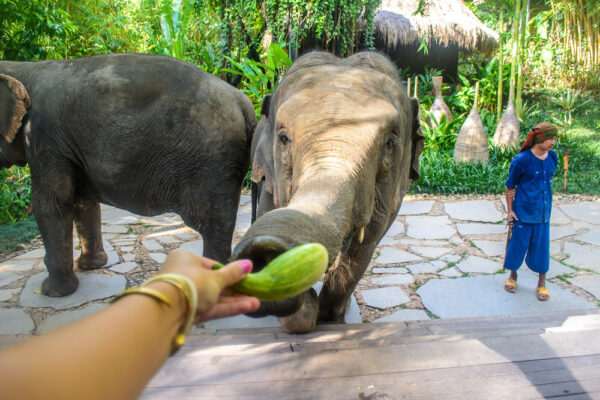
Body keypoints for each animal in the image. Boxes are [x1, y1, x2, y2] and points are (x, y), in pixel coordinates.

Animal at [0, 53, 255, 296]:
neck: (24, 70)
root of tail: (243, 102)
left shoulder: (43, 135)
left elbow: (50, 203)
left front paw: (53, 292)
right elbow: (83, 201)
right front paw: (91, 266)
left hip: (209, 162)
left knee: (212, 224)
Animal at [232, 50, 424, 334]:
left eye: (390, 143)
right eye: (283, 139)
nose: (262, 254)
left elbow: (363, 250)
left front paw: (330, 319)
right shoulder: (271, 178)